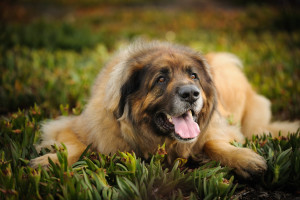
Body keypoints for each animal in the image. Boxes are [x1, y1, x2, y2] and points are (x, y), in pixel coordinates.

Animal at [30, 41, 298, 177]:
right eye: (161, 79)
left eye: (193, 76)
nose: (191, 94)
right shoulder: (75, 126)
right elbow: (75, 144)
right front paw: (50, 161)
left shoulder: (218, 128)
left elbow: (212, 141)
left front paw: (243, 158)